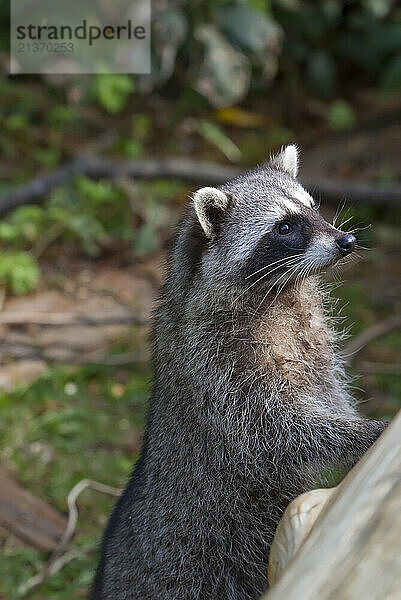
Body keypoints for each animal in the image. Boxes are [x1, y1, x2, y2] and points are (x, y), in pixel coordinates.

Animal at [92, 146, 386, 600]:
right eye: (285, 227)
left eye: (313, 208)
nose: (346, 241)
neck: (281, 296)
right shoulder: (217, 368)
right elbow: (275, 430)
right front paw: (360, 433)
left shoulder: (316, 349)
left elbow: (329, 395)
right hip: (198, 562)